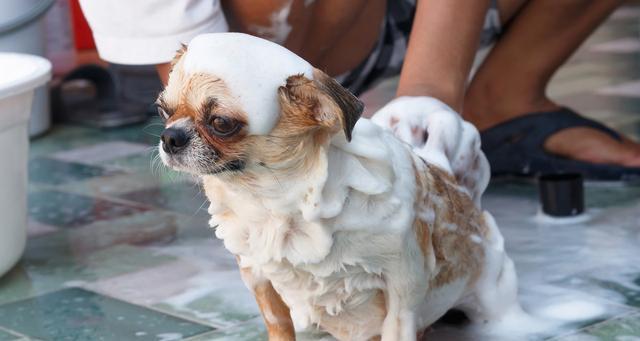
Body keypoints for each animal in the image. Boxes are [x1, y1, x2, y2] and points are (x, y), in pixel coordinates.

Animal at [159, 32, 520, 340]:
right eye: (163, 110)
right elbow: (279, 325)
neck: (276, 202)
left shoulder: (402, 296)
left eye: (221, 123)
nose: (169, 137)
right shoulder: (259, 278)